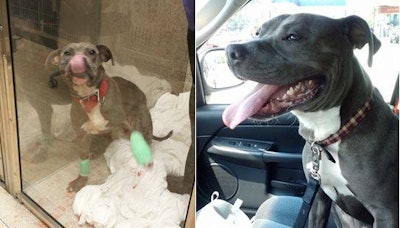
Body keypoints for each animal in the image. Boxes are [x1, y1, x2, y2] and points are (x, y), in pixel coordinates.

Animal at [223, 14, 398, 228]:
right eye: (258, 33)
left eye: (293, 36)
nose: (230, 51)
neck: (330, 135)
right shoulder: (317, 198)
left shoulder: (386, 213)